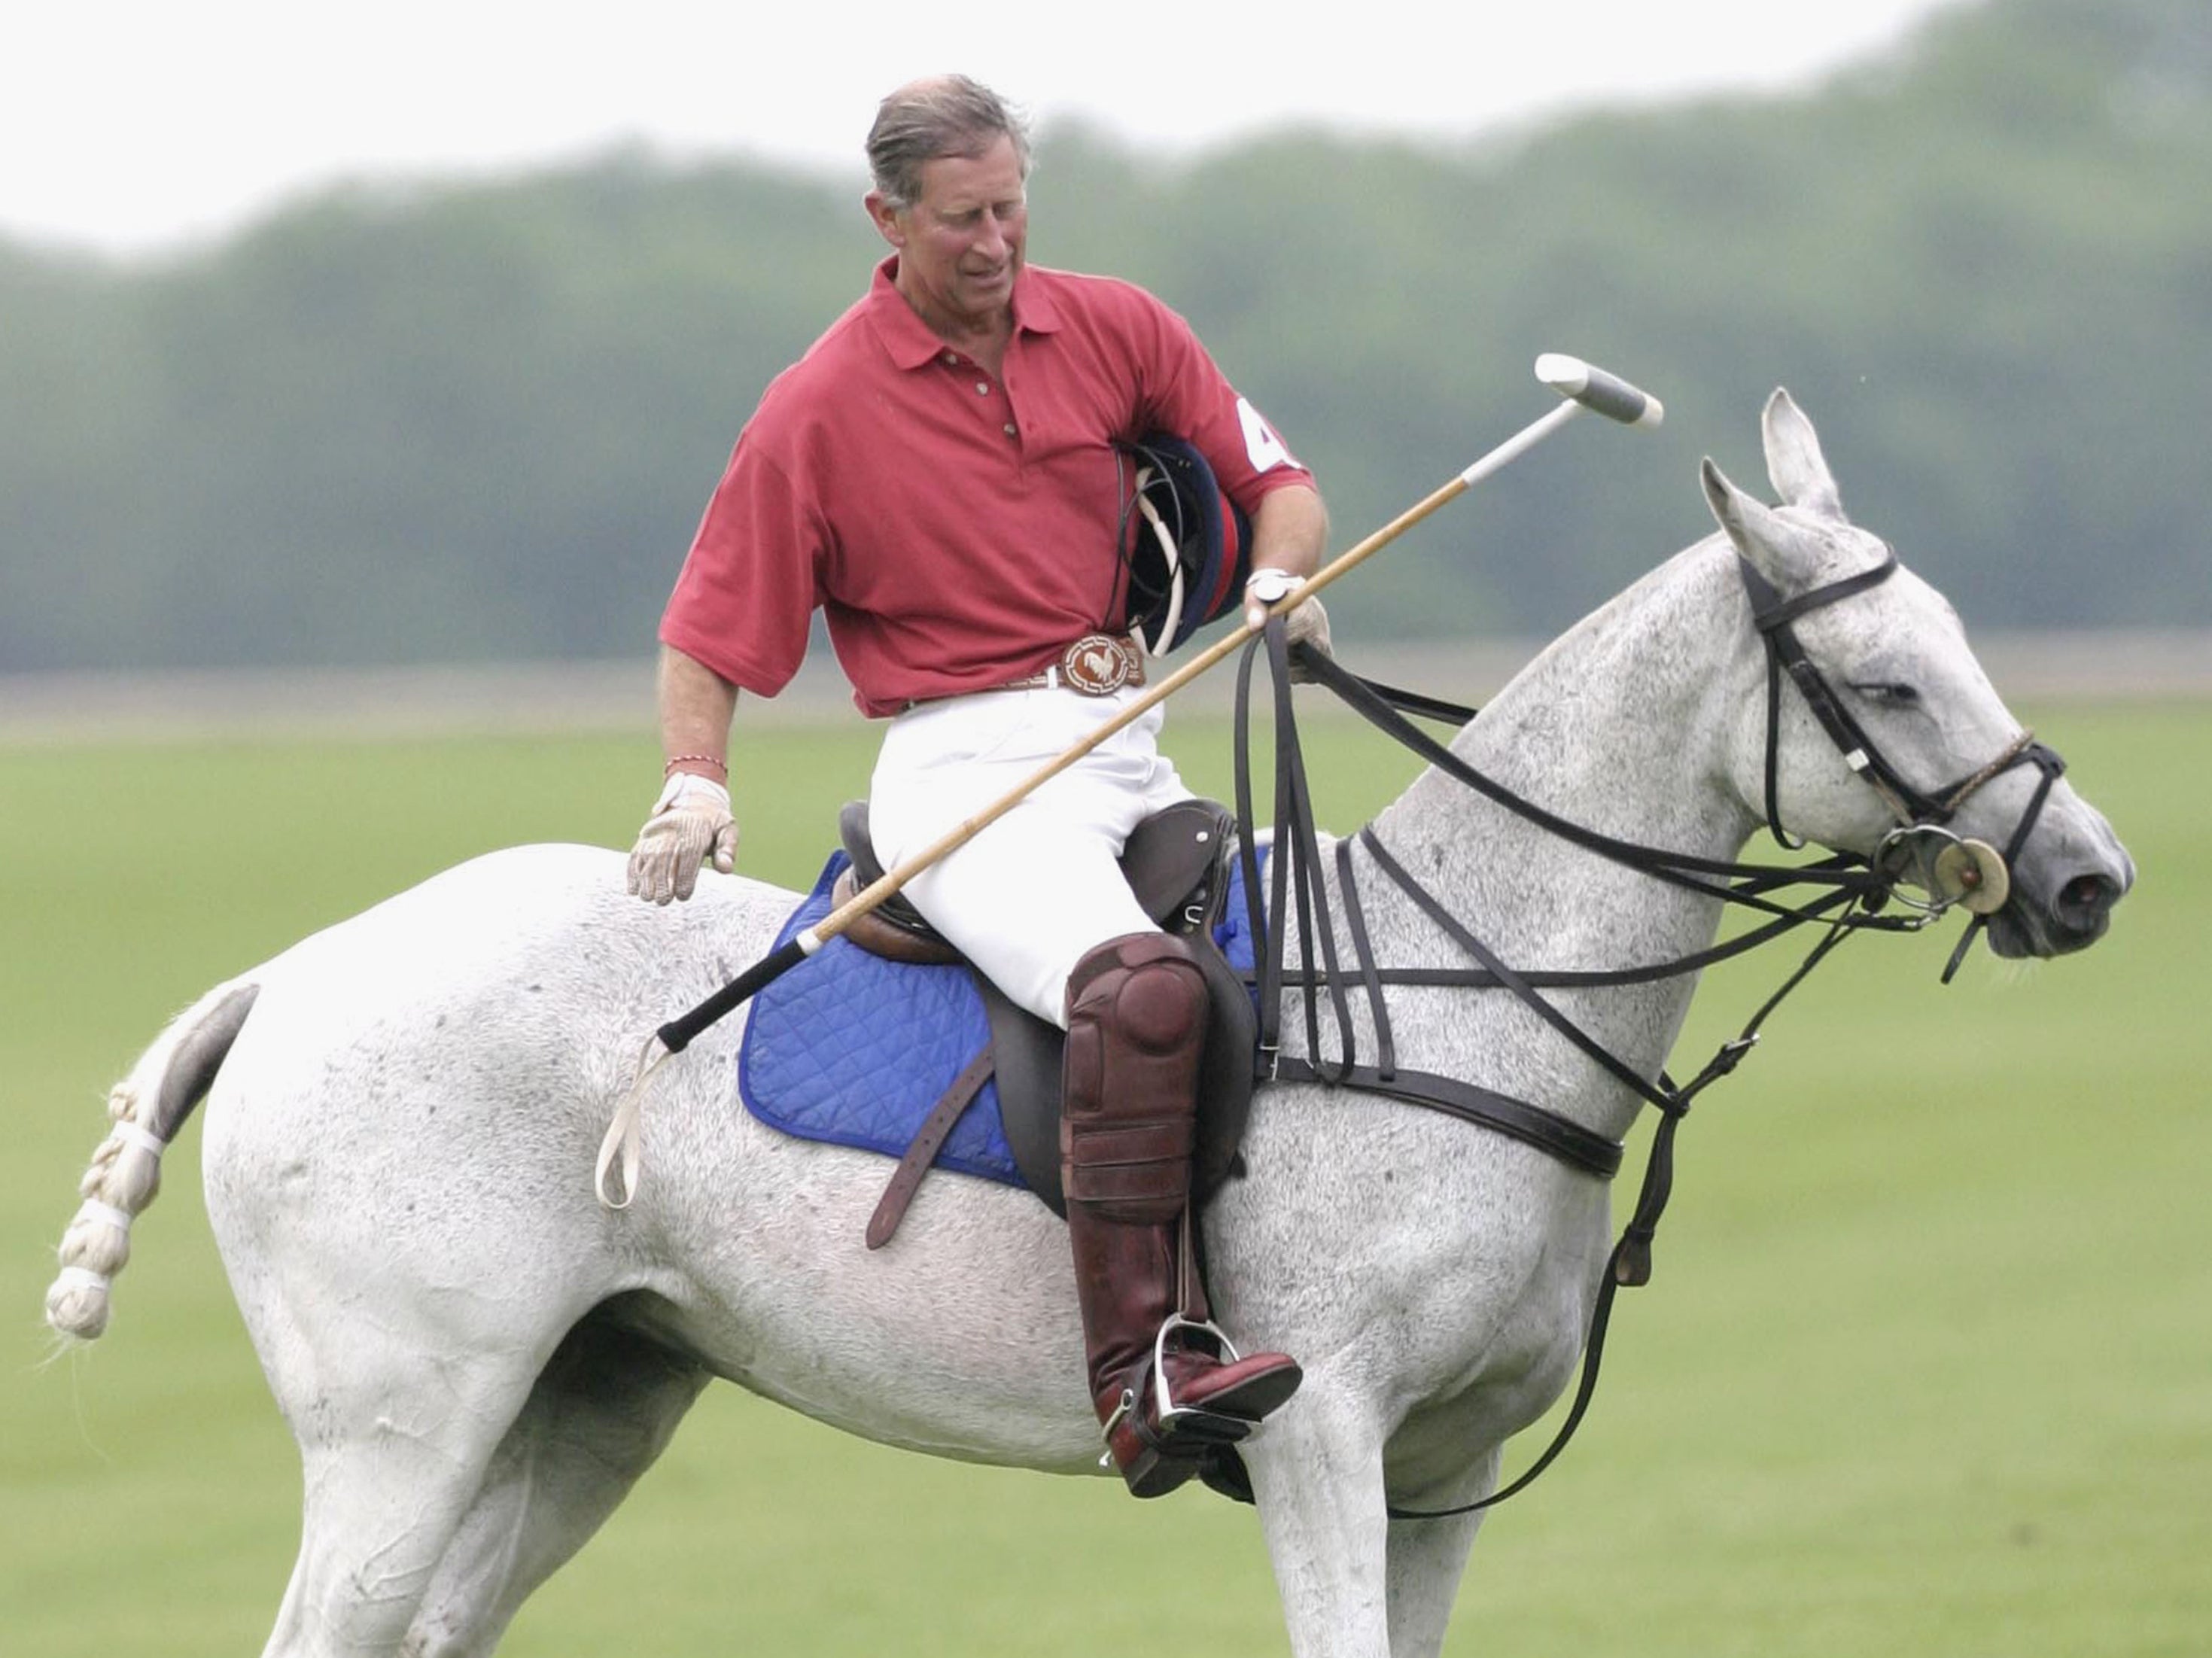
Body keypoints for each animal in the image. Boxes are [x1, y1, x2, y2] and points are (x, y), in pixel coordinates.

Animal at [47, 393, 2123, 1658]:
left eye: (1956, 647)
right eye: (1880, 683)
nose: (2086, 877)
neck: (1471, 976)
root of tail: (291, 971)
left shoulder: (1444, 1466)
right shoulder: (1324, 1432)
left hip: (585, 1397)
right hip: (405, 1416)